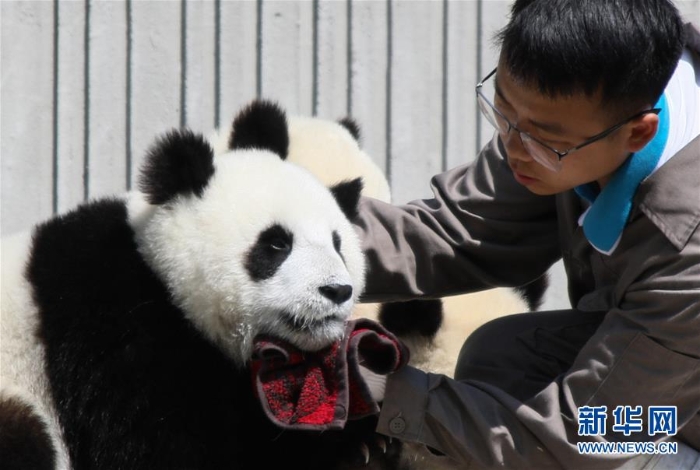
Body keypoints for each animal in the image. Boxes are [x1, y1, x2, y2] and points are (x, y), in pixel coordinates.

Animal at [0, 100, 410, 470]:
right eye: (277, 243)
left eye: (338, 244)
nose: (337, 291)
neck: (162, 273)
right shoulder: (112, 328)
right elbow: (164, 449)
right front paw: (351, 443)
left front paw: (369, 441)